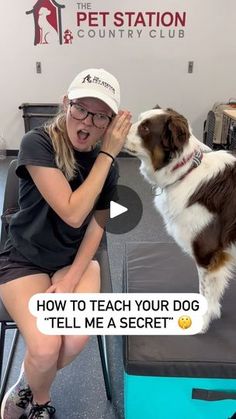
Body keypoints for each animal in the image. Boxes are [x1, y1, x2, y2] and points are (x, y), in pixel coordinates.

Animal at [123, 106, 236, 334]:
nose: (115, 127)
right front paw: (214, 312)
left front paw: (202, 322)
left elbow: (205, 290)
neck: (185, 171)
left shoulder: (207, 252)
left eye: (145, 128)